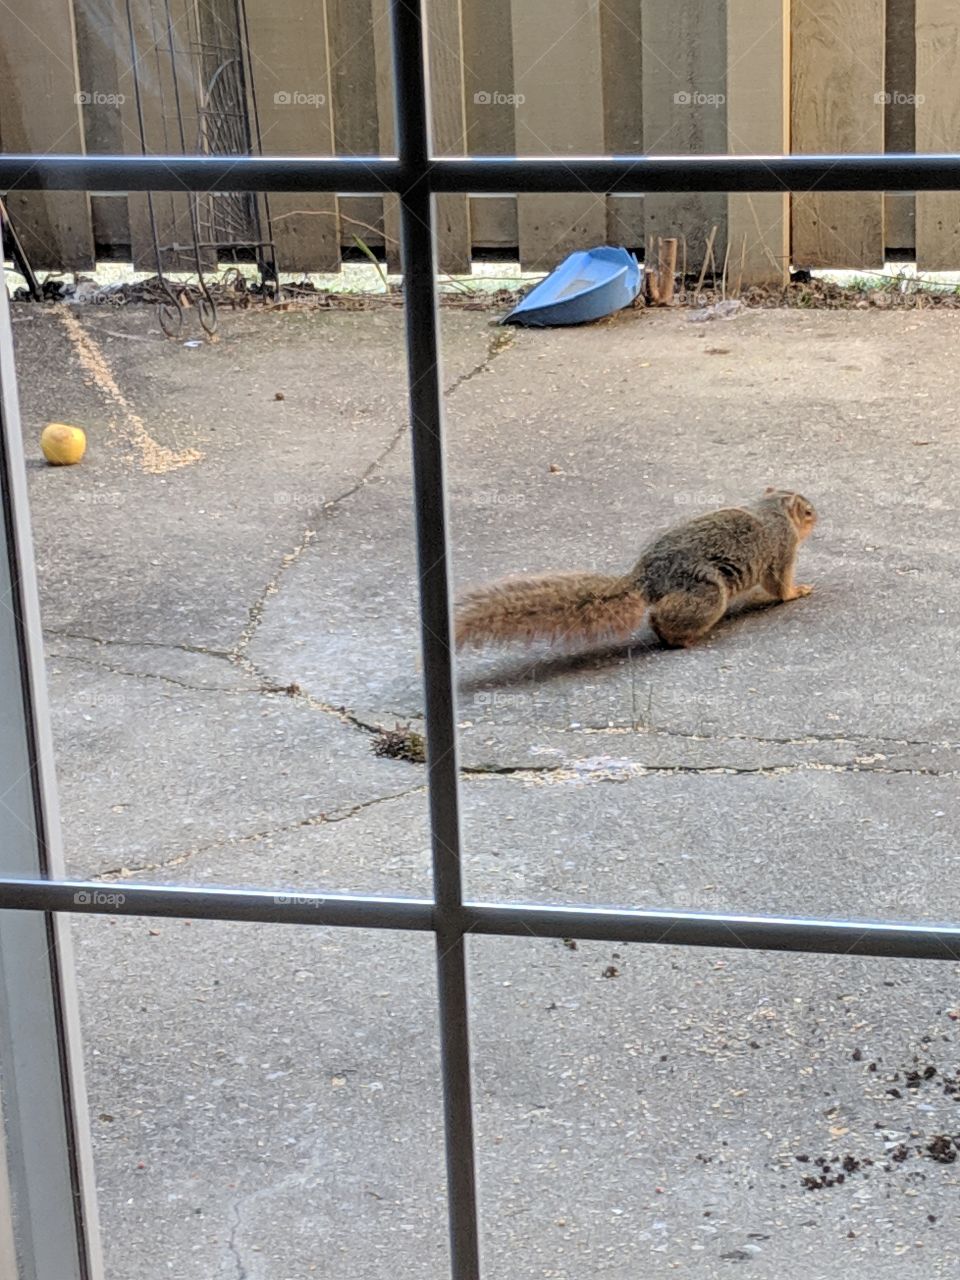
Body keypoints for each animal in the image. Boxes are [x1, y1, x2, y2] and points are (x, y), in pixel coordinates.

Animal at [455, 488, 817, 650]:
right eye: (808, 512)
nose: (819, 516)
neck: (770, 510)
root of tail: (646, 578)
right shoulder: (783, 549)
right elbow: (779, 584)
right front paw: (798, 591)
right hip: (706, 591)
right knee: (664, 617)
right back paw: (683, 638)